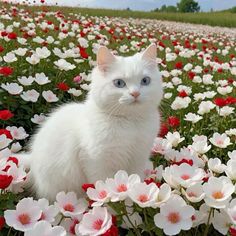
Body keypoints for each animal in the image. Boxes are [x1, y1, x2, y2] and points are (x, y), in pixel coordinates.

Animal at [22, 44, 162, 201]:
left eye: (145, 81)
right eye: (119, 83)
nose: (135, 93)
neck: (130, 124)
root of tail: (32, 158)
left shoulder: (138, 158)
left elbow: (134, 185)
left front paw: (131, 205)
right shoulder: (95, 161)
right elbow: (104, 187)